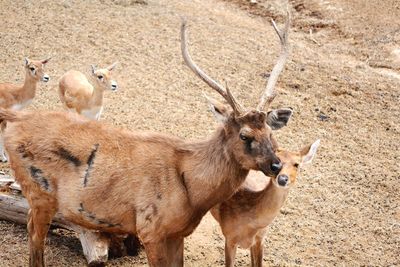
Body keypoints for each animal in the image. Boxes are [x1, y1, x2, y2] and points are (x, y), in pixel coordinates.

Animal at [1, 15, 292, 267]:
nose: (277, 165)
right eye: (244, 135)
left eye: (271, 132)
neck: (193, 192)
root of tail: (16, 118)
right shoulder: (150, 228)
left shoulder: (177, 233)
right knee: (34, 235)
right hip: (39, 190)